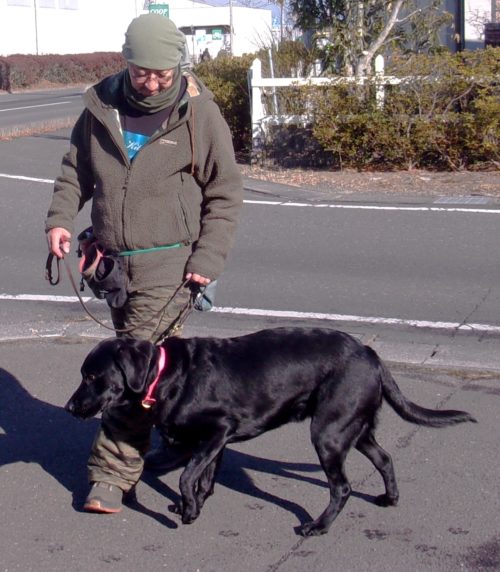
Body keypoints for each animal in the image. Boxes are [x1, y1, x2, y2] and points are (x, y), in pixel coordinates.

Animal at [65, 327, 476, 536]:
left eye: (93, 376)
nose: (70, 407)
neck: (166, 374)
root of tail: (372, 355)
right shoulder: (216, 442)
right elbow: (204, 479)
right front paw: (193, 505)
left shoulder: (217, 432)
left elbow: (186, 476)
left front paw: (188, 511)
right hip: (353, 428)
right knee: (386, 458)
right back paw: (389, 499)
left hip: (328, 432)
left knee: (342, 487)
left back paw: (317, 526)